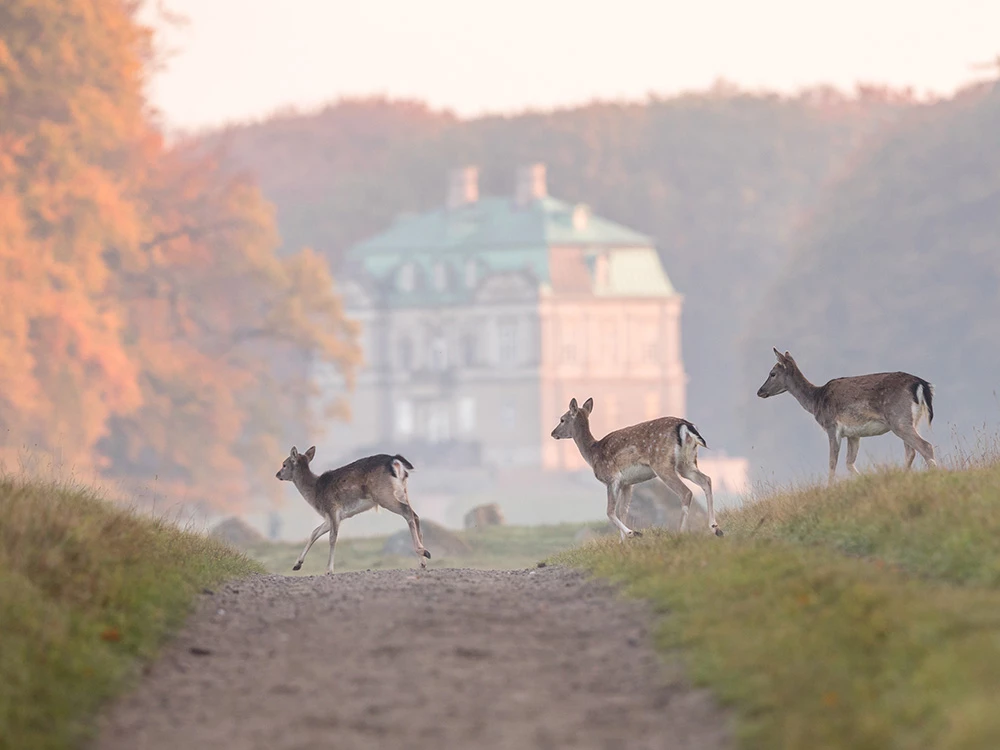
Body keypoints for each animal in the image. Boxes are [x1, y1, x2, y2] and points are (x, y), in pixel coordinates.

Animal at [276, 446, 432, 576]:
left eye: (284, 464)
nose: (277, 474)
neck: (315, 493)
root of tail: (395, 461)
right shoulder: (333, 517)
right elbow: (315, 532)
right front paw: (297, 564)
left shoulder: (332, 508)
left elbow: (332, 538)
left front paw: (328, 570)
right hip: (402, 492)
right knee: (415, 515)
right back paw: (422, 561)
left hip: (383, 495)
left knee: (407, 512)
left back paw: (423, 551)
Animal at [552, 400, 724, 540]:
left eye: (562, 419)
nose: (553, 433)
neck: (593, 453)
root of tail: (685, 426)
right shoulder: (627, 484)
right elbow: (622, 511)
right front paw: (623, 542)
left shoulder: (612, 478)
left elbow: (610, 511)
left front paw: (633, 533)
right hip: (686, 463)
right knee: (706, 480)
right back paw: (715, 528)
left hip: (662, 464)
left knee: (686, 492)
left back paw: (681, 532)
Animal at [756, 348, 936, 488]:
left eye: (772, 373)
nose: (760, 391)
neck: (816, 401)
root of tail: (920, 384)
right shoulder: (853, 434)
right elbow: (849, 462)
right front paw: (865, 481)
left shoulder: (832, 426)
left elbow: (832, 462)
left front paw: (829, 489)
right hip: (911, 420)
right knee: (911, 451)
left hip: (898, 419)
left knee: (925, 446)